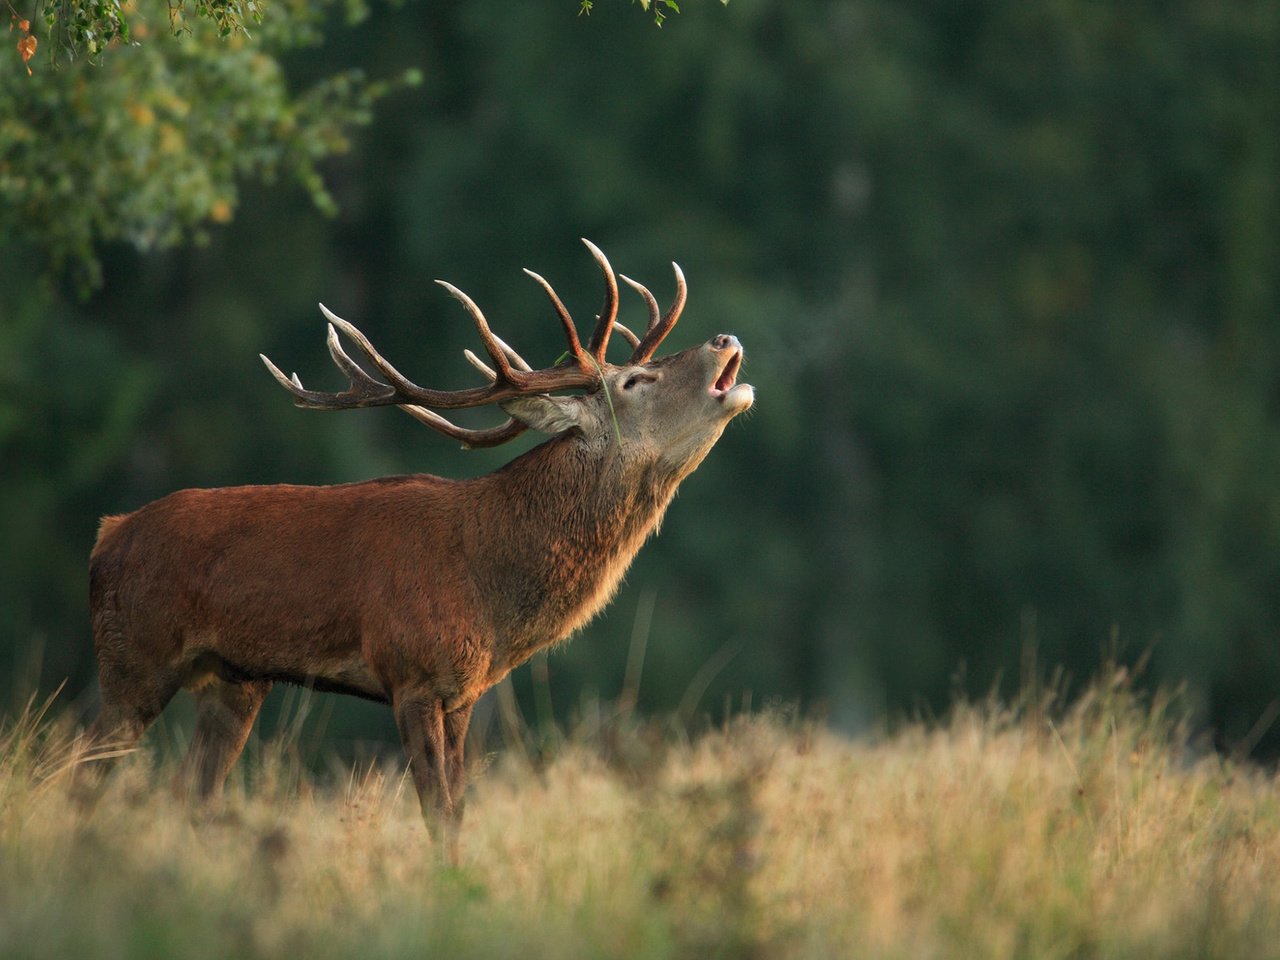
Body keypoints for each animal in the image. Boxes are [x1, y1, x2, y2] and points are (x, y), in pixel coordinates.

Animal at [85, 239, 752, 855]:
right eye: (636, 380)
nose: (724, 338)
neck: (490, 583)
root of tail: (106, 536)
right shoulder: (413, 672)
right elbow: (438, 814)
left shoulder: (462, 693)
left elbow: (457, 812)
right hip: (133, 657)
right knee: (82, 775)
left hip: (234, 680)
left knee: (190, 792)